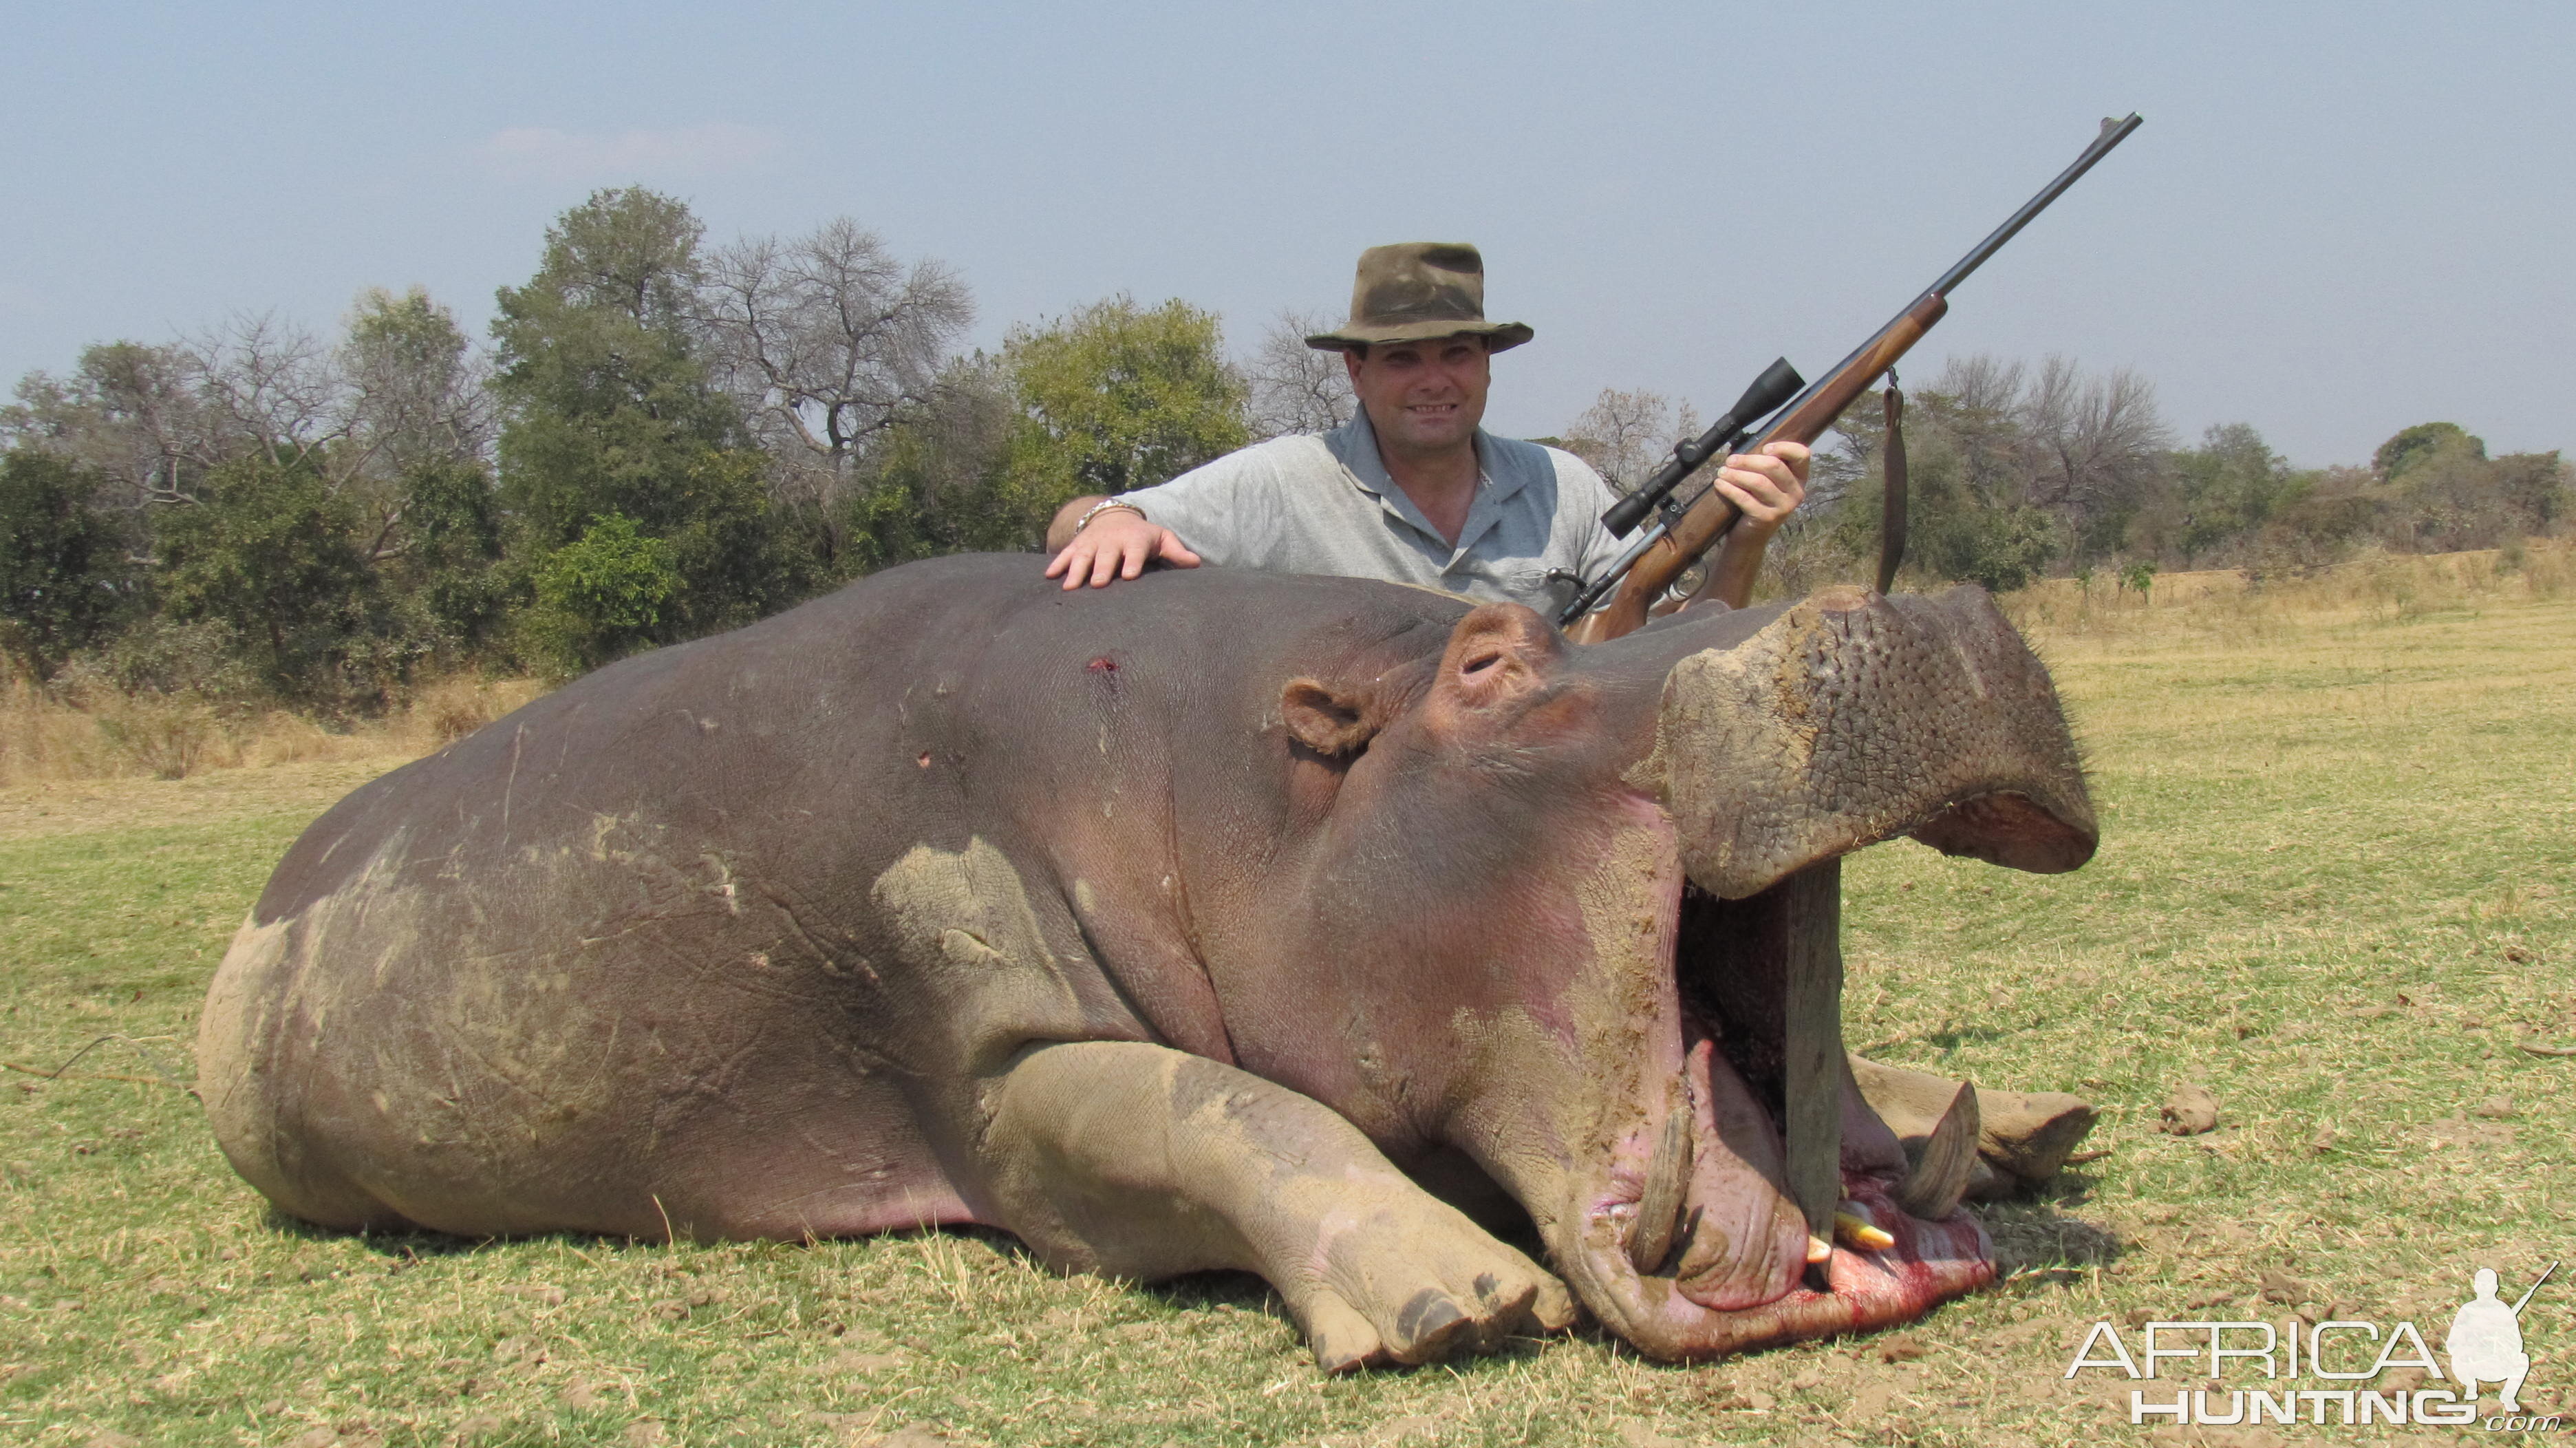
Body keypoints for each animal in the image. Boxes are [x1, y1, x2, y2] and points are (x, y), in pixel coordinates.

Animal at [201, 551, 2092, 1360]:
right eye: (1491, 659)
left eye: (1632, 613)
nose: (1910, 599)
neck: (1262, 778)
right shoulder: (995, 1074)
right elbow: (1226, 1115)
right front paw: (1455, 1297)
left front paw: (2022, 1117)